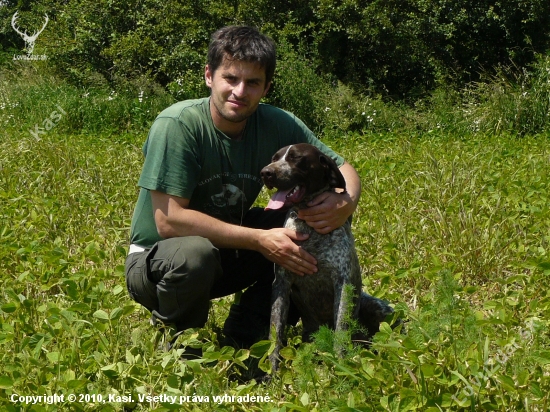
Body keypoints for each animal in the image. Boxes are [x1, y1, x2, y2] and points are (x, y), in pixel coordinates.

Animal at [260, 142, 394, 370]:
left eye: (296, 158)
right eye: (274, 158)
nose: (266, 173)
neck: (309, 229)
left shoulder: (343, 283)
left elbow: (341, 329)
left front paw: (341, 367)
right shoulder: (281, 284)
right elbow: (274, 334)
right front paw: (272, 372)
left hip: (377, 307)